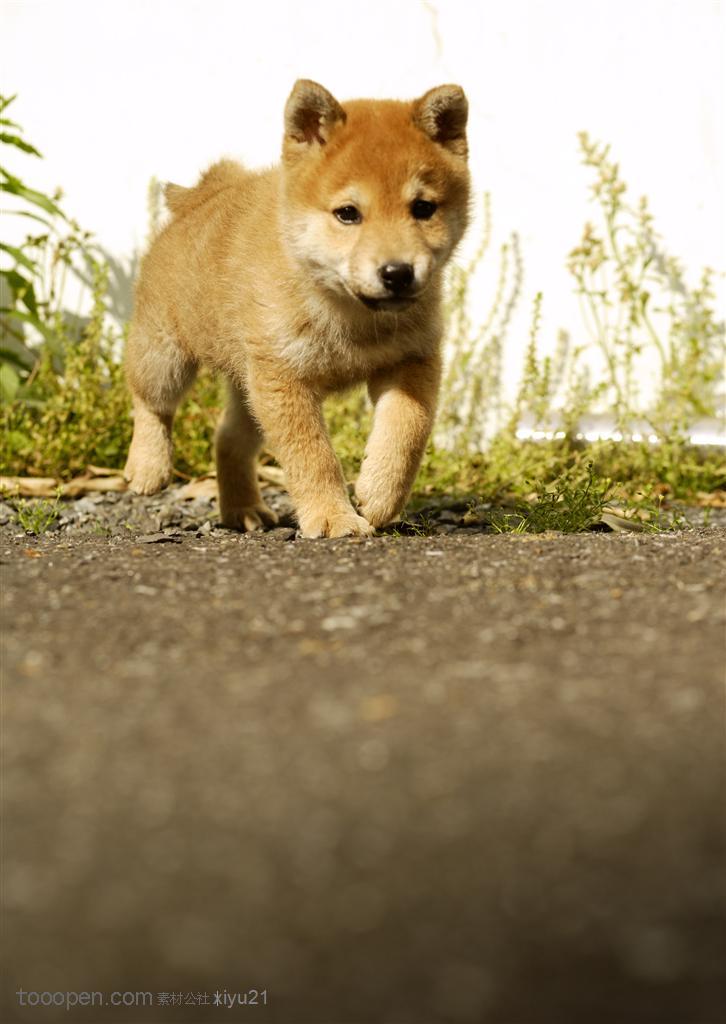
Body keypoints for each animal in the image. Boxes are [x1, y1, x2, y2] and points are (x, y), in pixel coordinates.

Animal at [124, 79, 471, 536]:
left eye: (423, 209)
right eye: (347, 213)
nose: (397, 272)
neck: (350, 316)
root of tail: (202, 196)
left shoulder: (412, 360)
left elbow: (406, 431)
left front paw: (380, 494)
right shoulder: (285, 379)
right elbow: (313, 456)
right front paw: (333, 516)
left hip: (248, 387)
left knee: (228, 438)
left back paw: (243, 510)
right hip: (165, 356)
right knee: (151, 403)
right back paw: (147, 468)